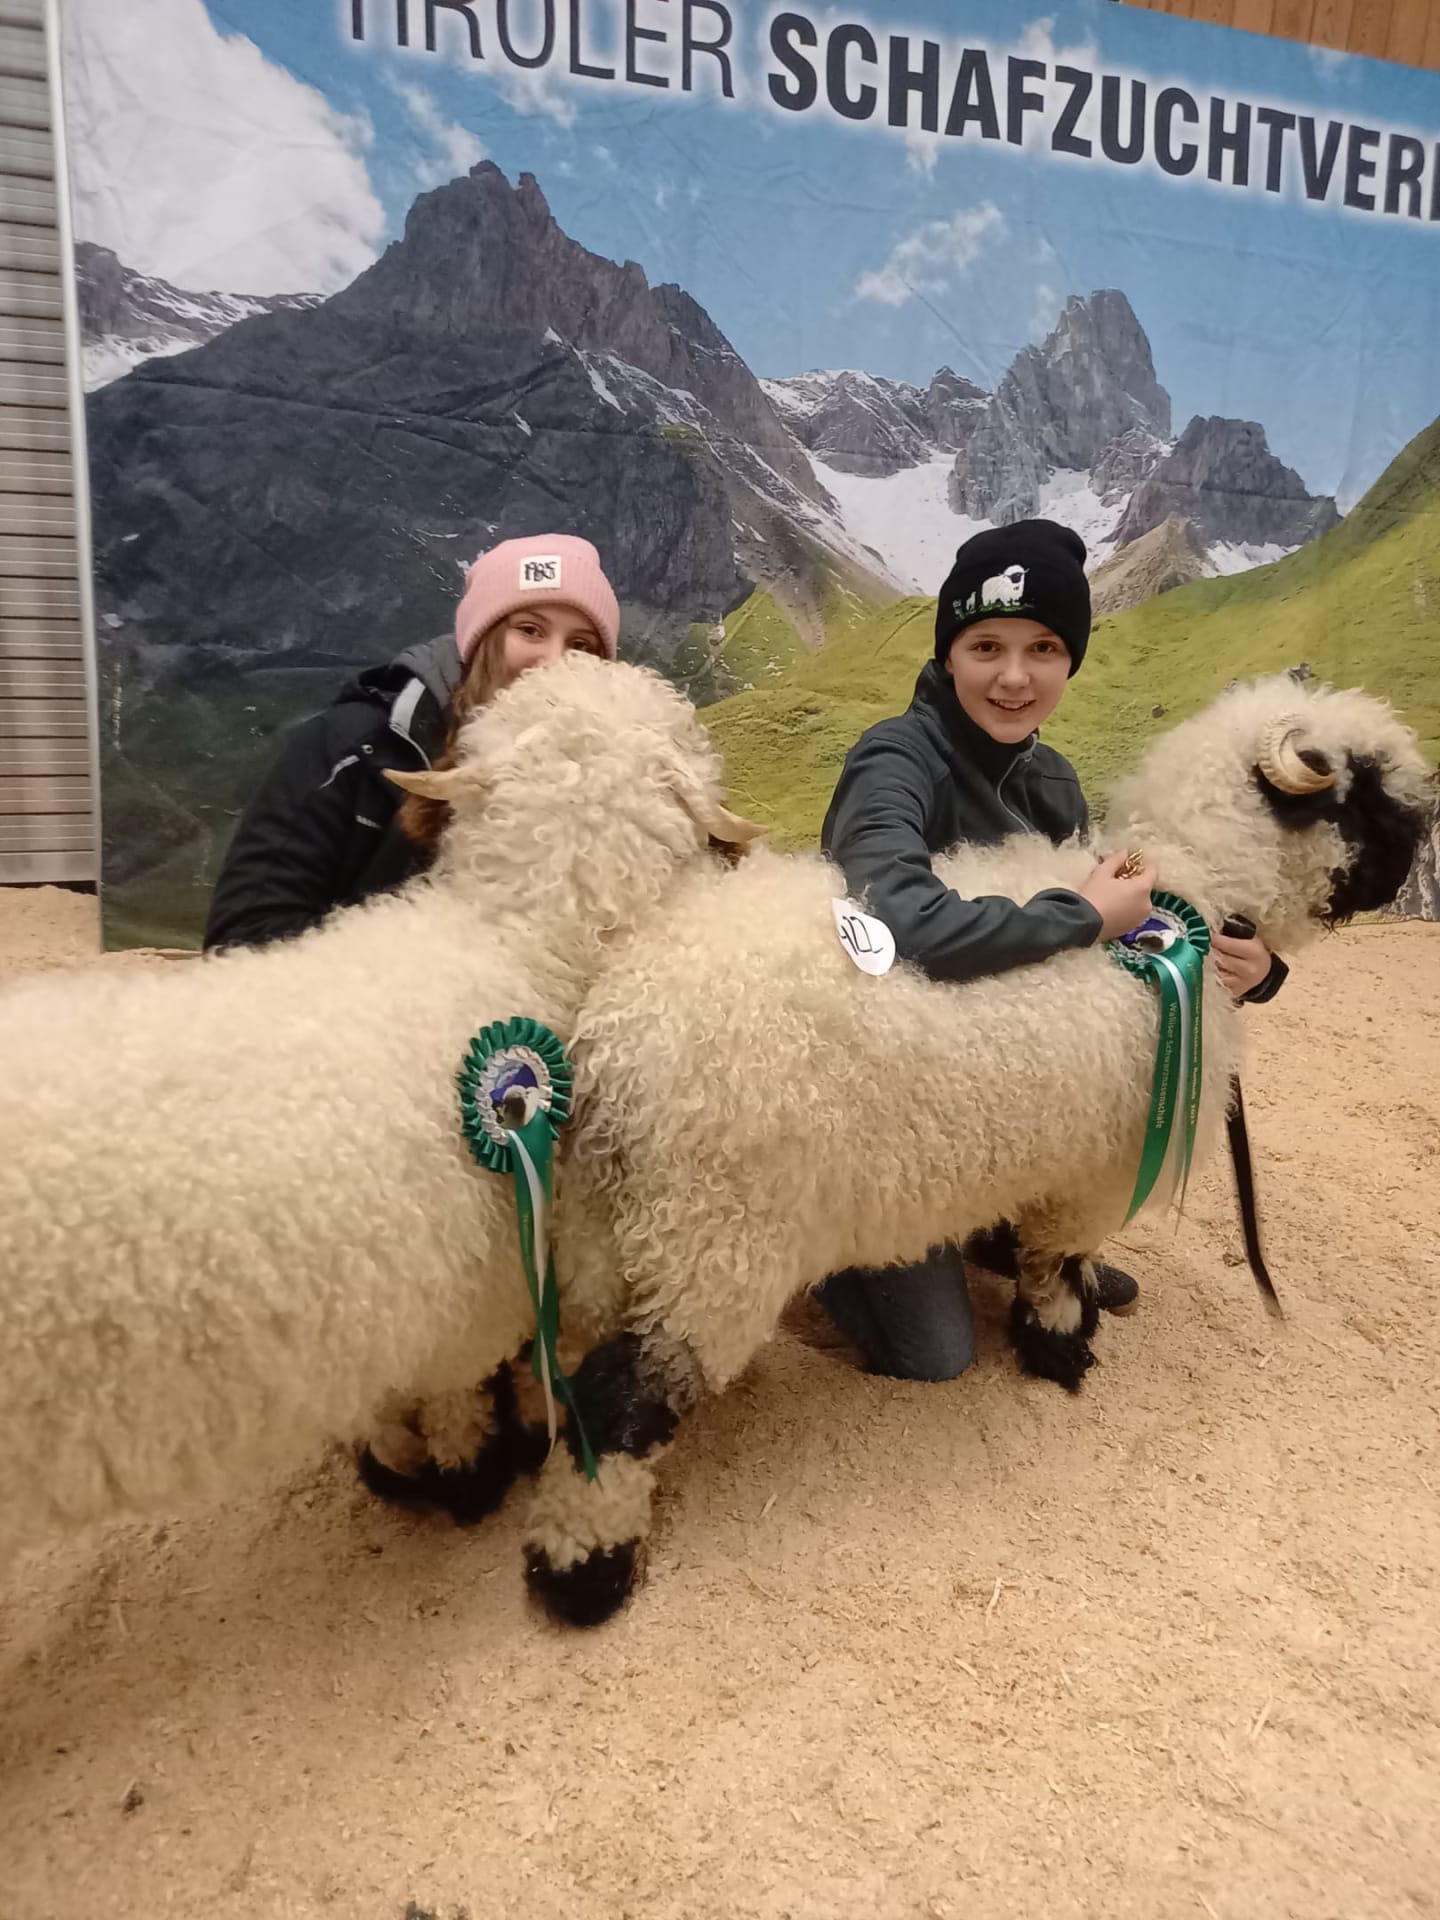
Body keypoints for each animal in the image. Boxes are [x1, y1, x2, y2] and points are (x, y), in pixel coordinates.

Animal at [517, 673, 1432, 1626]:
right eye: (1362, 793)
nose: (1414, 859)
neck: (1194, 896)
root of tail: (617, 1033)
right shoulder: (1096, 1172)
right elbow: (1056, 1264)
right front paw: (1060, 1350)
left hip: (602, 1236)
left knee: (572, 1376)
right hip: (713, 1242)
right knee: (624, 1400)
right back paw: (584, 1573)